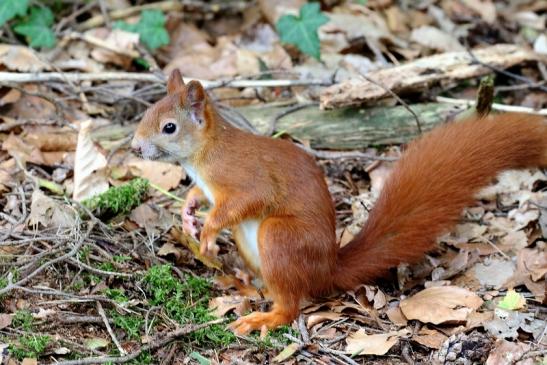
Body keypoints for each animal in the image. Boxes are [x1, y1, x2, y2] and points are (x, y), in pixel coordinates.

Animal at [132, 69, 547, 334]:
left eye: (169, 127)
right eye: (146, 113)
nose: (134, 147)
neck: (204, 154)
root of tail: (328, 269)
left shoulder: (246, 179)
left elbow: (246, 201)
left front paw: (207, 232)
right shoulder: (208, 186)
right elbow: (198, 194)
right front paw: (188, 212)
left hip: (279, 237)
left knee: (290, 303)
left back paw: (265, 317)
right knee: (272, 288)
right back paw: (243, 285)